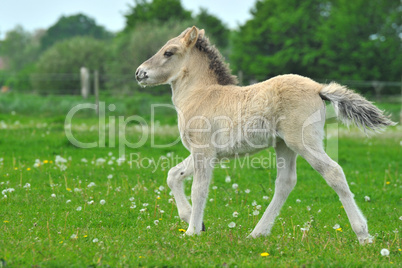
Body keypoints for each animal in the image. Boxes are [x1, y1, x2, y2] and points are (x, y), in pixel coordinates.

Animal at [136, 26, 396, 244]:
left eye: (169, 52)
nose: (140, 72)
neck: (202, 94)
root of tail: (318, 88)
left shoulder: (203, 150)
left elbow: (199, 189)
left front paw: (191, 231)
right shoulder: (211, 153)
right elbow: (173, 175)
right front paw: (195, 222)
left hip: (303, 142)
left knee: (333, 172)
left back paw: (363, 235)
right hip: (284, 146)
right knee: (286, 182)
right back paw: (257, 232)